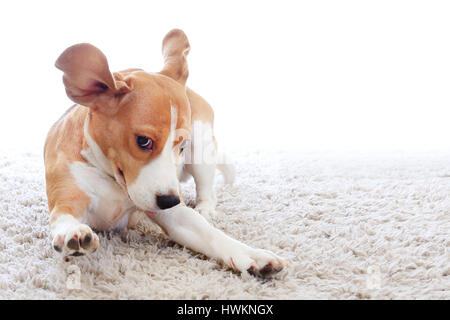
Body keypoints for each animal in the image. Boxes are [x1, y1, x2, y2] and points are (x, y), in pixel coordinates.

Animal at [44, 28, 284, 276]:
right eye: (143, 141)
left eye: (181, 146)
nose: (170, 200)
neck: (110, 176)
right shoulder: (67, 199)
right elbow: (62, 218)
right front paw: (72, 232)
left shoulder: (174, 214)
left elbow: (210, 234)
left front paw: (251, 254)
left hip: (201, 147)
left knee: (206, 189)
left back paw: (205, 208)